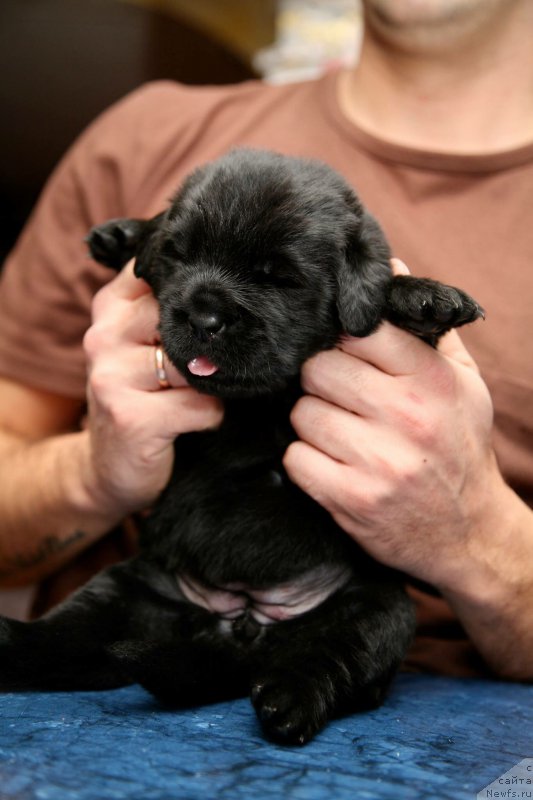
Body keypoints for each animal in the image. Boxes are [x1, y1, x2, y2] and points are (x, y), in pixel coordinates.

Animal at [0, 148, 482, 744]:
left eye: (277, 277)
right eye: (180, 256)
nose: (203, 317)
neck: (261, 398)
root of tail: (244, 628)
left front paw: (422, 298)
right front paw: (127, 235)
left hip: (376, 607)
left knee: (332, 657)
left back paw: (288, 699)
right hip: (126, 589)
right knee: (60, 642)